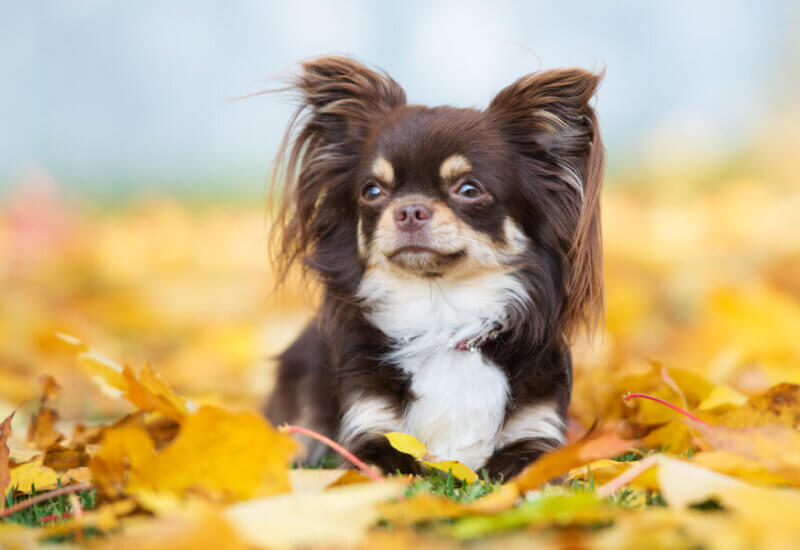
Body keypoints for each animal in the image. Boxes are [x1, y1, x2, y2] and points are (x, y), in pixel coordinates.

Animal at [266, 54, 604, 480]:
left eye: (469, 189)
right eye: (372, 191)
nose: (410, 209)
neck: (443, 316)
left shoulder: (537, 436)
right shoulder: (370, 432)